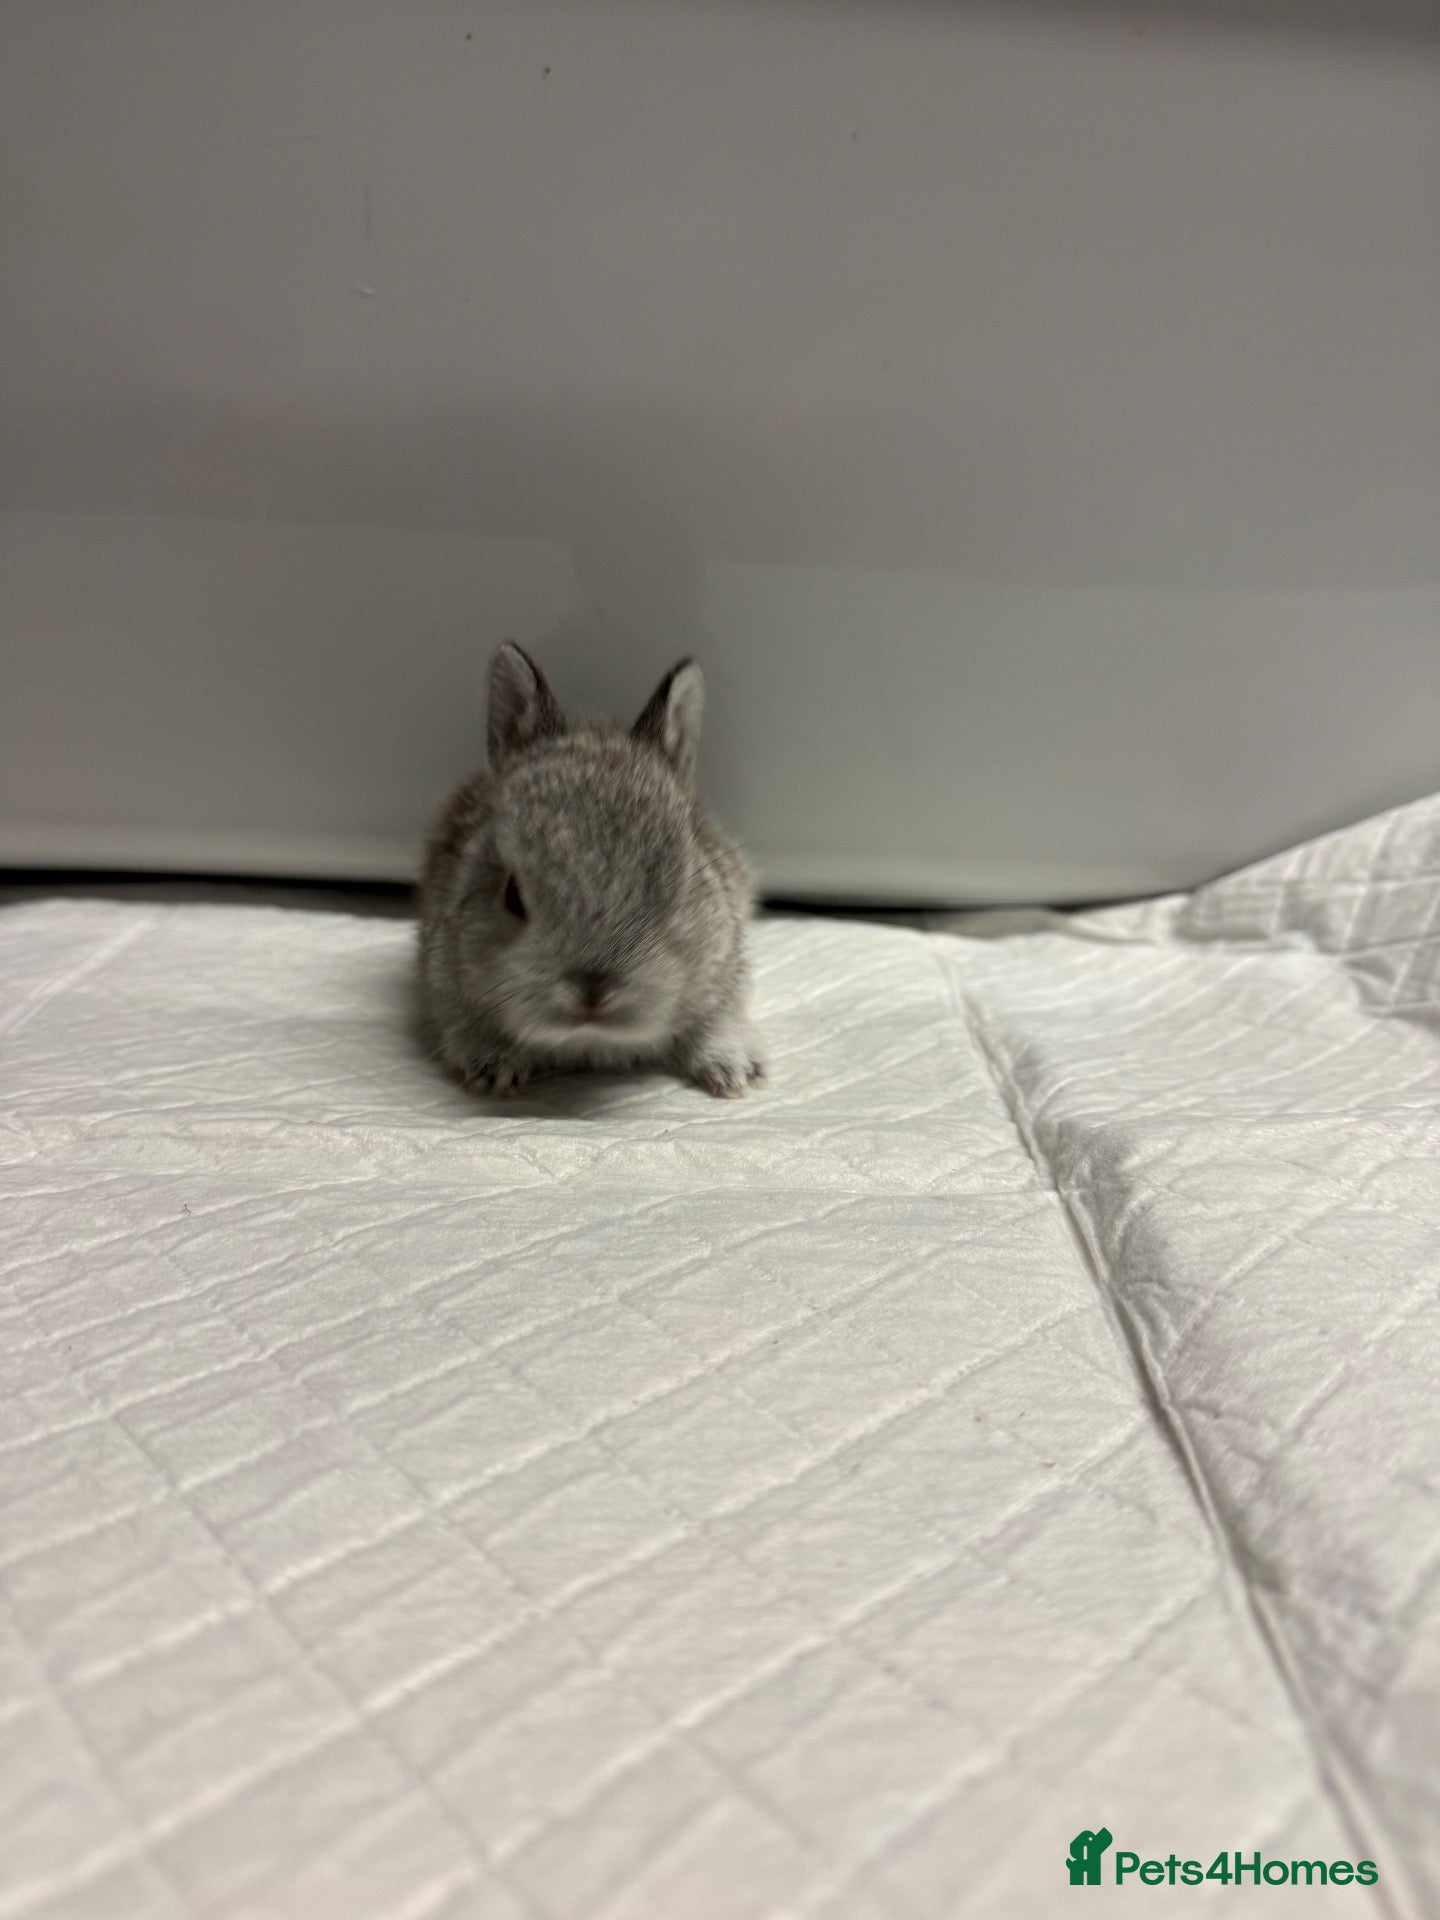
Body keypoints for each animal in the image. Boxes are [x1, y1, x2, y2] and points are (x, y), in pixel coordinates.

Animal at [418, 643, 766, 1099]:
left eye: (680, 891)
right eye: (512, 895)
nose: (593, 991)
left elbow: (717, 1020)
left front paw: (732, 1071)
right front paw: (496, 1069)